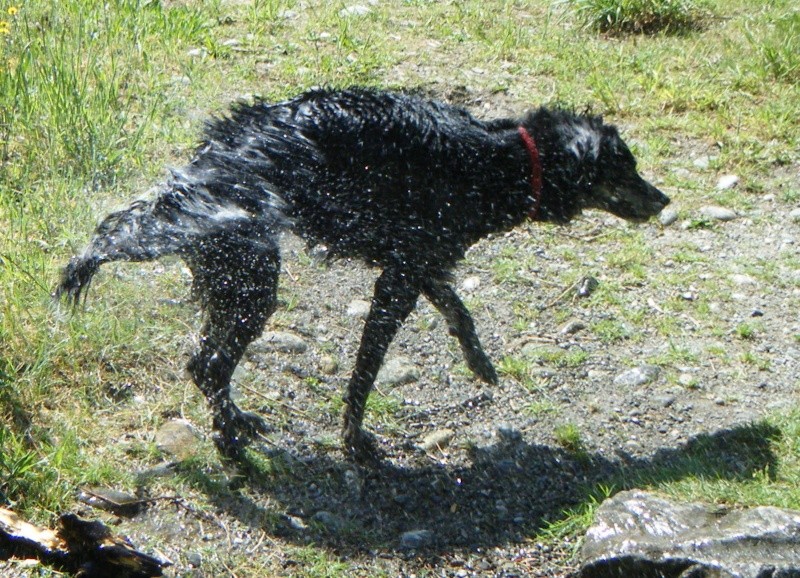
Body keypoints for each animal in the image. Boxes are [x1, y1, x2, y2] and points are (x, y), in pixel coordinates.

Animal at [57, 86, 668, 464]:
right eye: (626, 167)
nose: (664, 200)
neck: (496, 162)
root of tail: (206, 166)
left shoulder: (414, 260)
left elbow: (455, 306)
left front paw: (479, 361)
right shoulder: (398, 280)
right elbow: (367, 369)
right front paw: (355, 441)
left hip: (229, 273)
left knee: (202, 364)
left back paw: (236, 422)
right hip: (252, 278)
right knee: (210, 365)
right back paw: (229, 442)